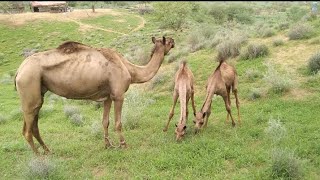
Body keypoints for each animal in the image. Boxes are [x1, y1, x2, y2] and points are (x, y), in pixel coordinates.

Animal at [14, 36, 175, 155]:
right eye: (168, 41)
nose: (173, 41)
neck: (129, 69)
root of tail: (19, 71)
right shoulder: (118, 95)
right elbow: (118, 122)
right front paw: (123, 145)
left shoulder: (108, 96)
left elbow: (105, 121)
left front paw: (108, 145)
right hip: (29, 84)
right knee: (27, 131)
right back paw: (39, 157)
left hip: (37, 94)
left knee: (34, 126)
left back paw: (48, 151)